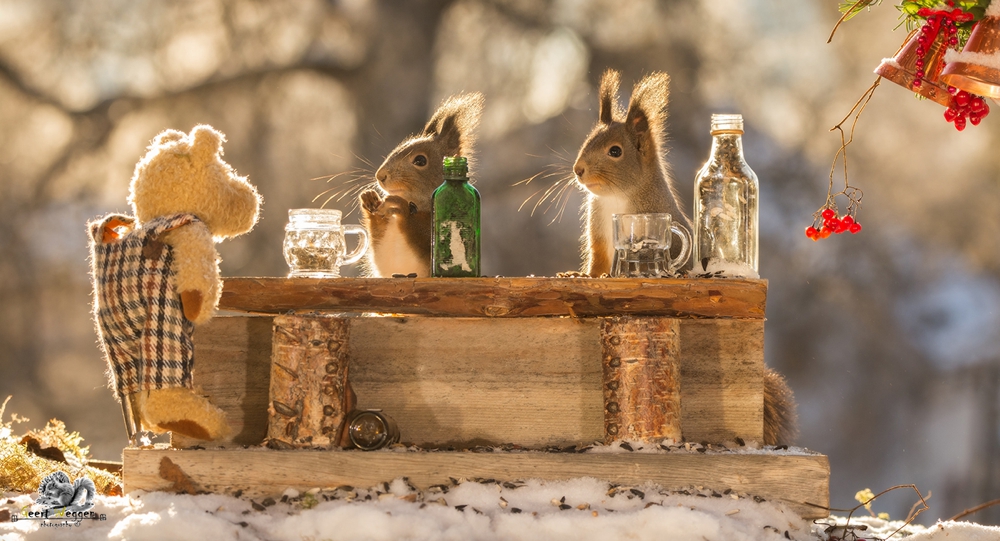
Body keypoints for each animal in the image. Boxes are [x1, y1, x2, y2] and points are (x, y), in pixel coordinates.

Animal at [572, 69, 796, 446]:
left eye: (615, 151)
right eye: (586, 140)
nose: (578, 170)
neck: (617, 199)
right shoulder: (599, 234)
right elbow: (598, 262)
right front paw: (583, 277)